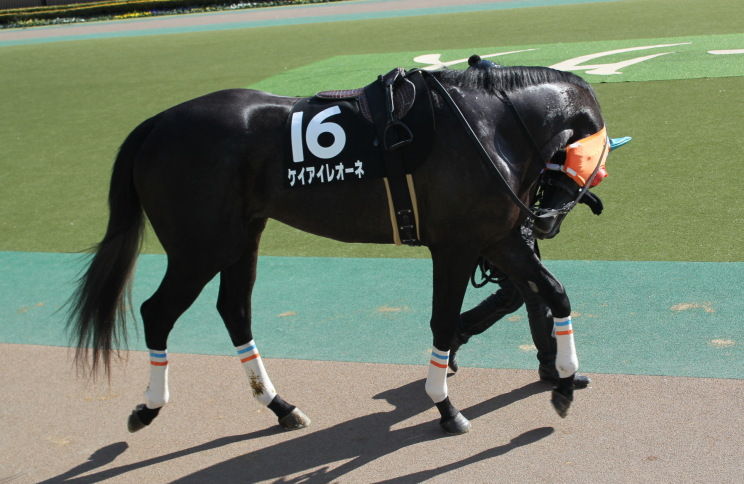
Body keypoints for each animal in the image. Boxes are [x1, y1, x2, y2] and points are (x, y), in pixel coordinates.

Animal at [68, 62, 613, 436]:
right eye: (596, 162)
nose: (545, 222)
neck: (485, 126)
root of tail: (156, 124)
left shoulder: (498, 239)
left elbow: (555, 293)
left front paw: (565, 381)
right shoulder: (456, 247)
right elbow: (443, 321)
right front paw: (444, 404)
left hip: (241, 237)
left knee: (235, 311)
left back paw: (280, 406)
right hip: (199, 247)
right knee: (158, 312)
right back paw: (148, 407)